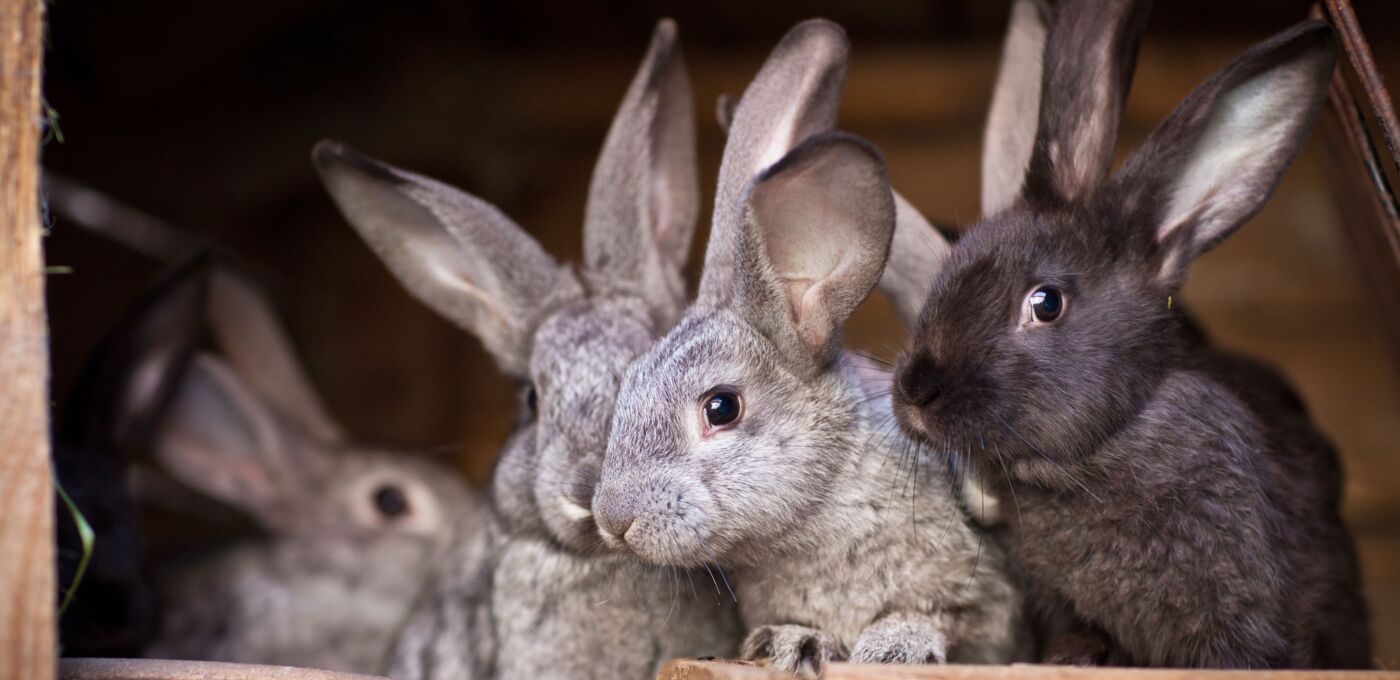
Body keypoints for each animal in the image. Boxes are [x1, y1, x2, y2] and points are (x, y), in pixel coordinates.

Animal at [585, 18, 1024, 677]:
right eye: (628, 381)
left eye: (721, 407)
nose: (614, 519)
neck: (819, 509)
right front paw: (788, 643)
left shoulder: (984, 601)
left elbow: (942, 616)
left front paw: (893, 644)